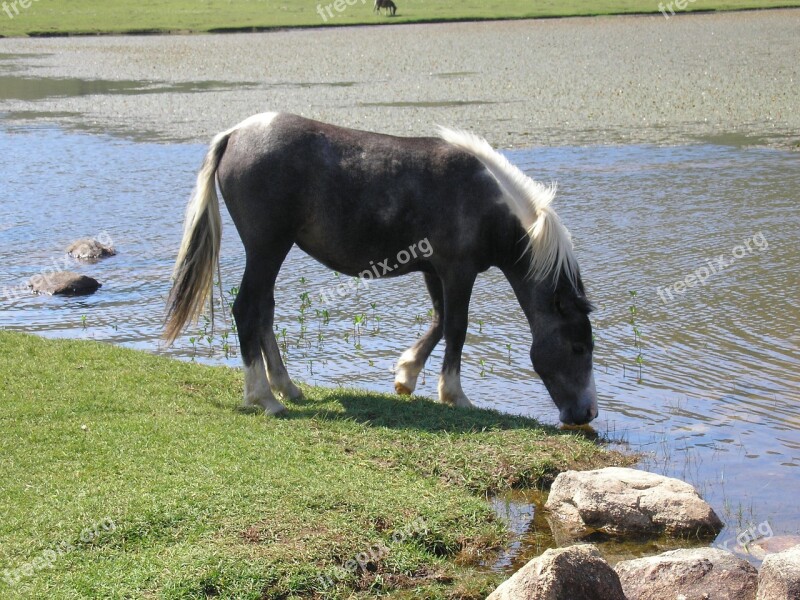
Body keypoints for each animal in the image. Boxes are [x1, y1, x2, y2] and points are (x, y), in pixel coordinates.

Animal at [164, 112, 592, 426]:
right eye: (578, 346)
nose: (586, 414)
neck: (487, 200)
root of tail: (236, 133)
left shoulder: (434, 271)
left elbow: (439, 322)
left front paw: (406, 376)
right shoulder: (459, 271)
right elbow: (457, 327)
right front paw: (454, 395)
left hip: (272, 253)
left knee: (264, 313)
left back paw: (287, 387)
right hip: (267, 249)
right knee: (248, 311)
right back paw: (264, 397)